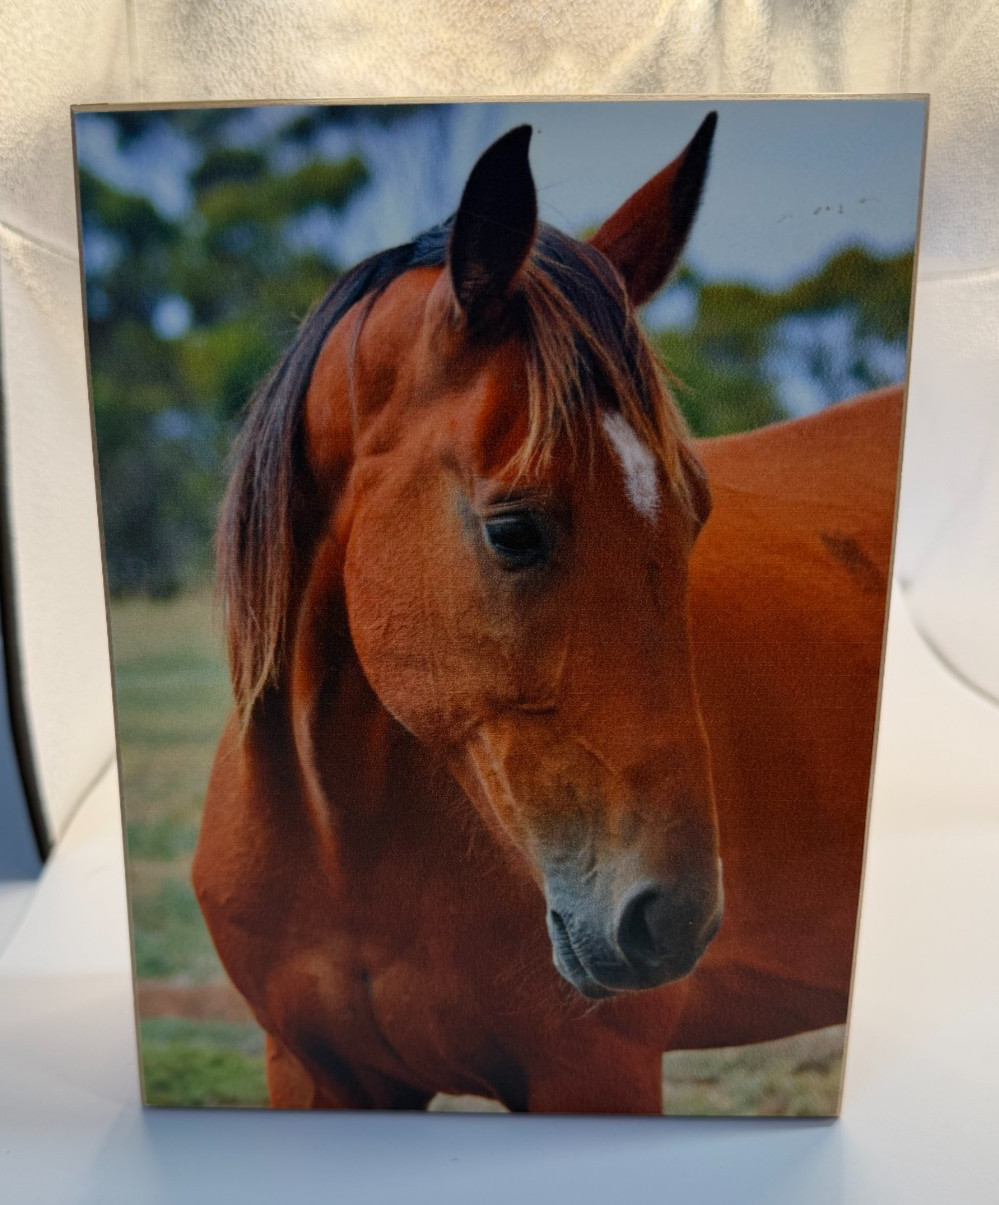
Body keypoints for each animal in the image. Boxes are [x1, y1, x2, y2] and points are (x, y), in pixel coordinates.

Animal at [192, 113, 902, 1114]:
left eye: (694, 515)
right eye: (514, 530)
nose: (671, 918)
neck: (342, 843)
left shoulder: (594, 1073)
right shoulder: (313, 1073)